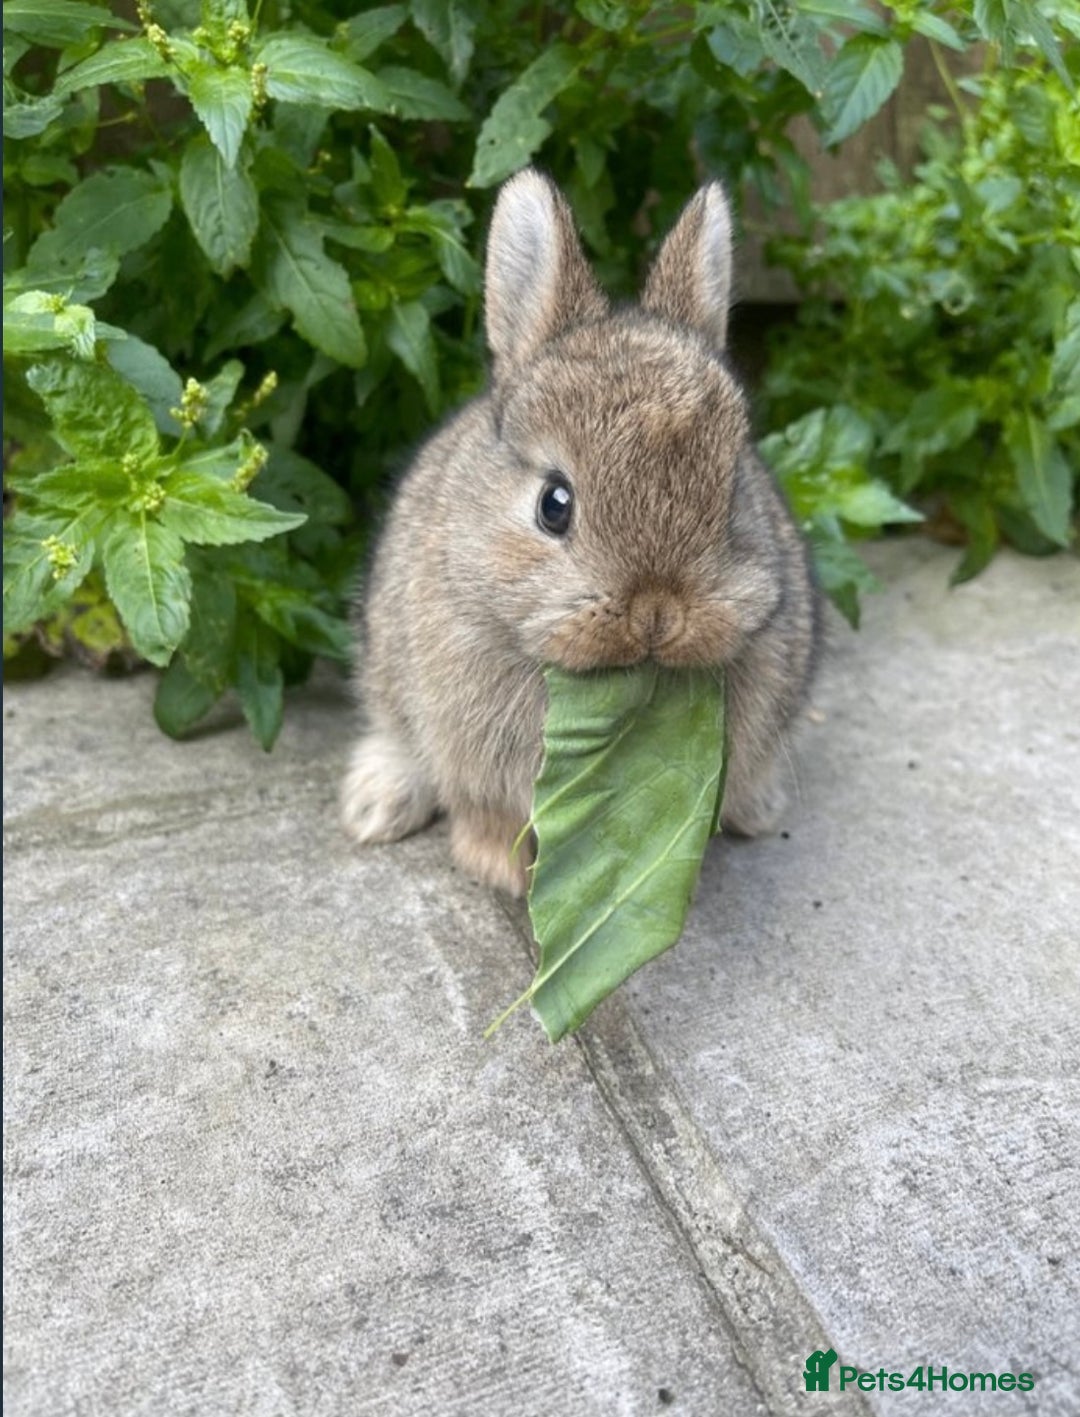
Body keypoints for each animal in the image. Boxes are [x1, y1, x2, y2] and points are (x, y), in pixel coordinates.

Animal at [341, 169, 822, 897]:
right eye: (554, 504)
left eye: (733, 488)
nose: (657, 614)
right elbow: (488, 812)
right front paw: (503, 870)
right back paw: (374, 808)